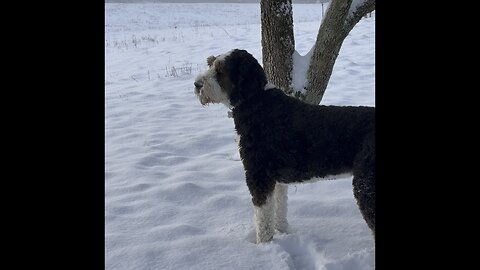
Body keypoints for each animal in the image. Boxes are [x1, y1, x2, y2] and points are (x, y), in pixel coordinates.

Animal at [193, 49, 374, 245]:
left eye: (221, 71)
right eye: (210, 63)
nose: (196, 84)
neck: (256, 102)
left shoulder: (258, 176)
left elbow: (263, 219)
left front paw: (264, 247)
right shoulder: (277, 179)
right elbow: (279, 209)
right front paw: (283, 233)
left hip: (366, 186)